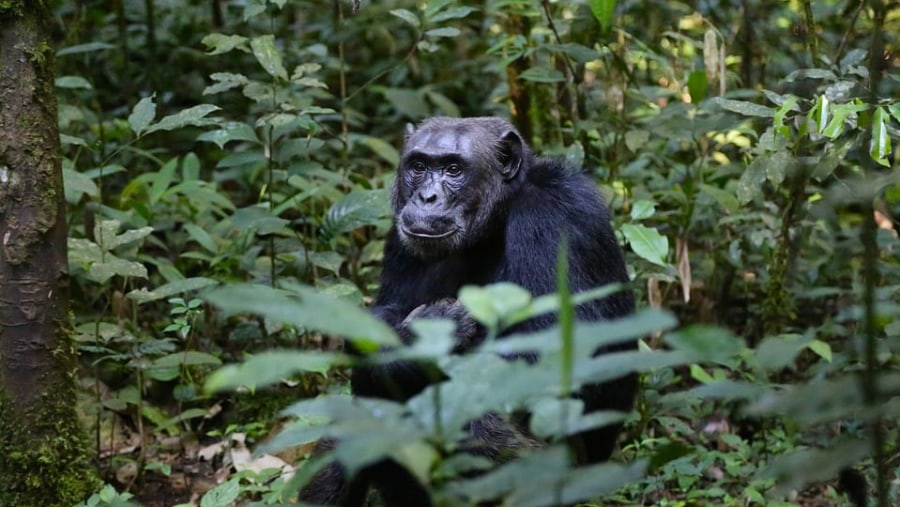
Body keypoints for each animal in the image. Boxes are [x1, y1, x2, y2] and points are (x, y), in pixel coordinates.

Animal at [298, 118, 636, 507]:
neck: (495, 221)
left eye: (453, 169)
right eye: (418, 166)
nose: (426, 197)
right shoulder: (399, 239)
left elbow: (561, 355)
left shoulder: (558, 217)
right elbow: (383, 320)